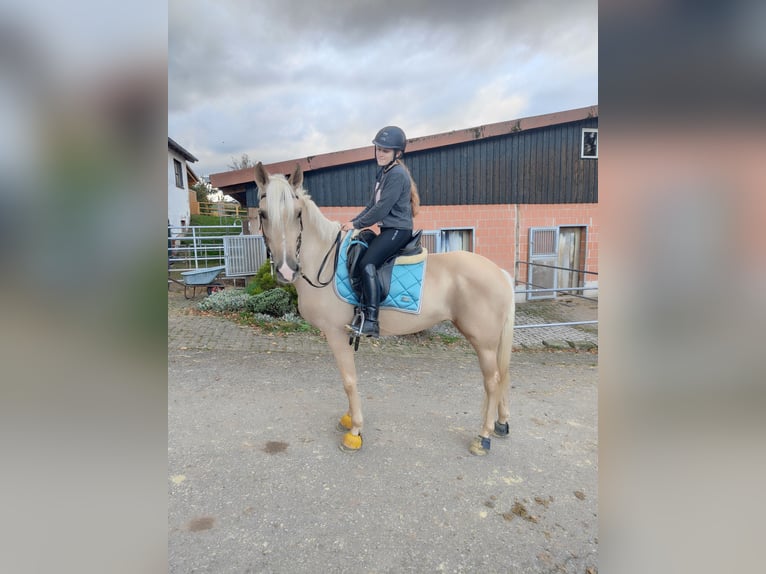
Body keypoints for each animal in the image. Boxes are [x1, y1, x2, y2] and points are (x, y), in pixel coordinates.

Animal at [254, 163, 516, 460]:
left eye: (298, 214)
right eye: (263, 214)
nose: (287, 270)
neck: (324, 260)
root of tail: (500, 273)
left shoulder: (335, 334)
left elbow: (349, 380)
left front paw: (355, 431)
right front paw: (349, 419)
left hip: (483, 342)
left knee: (492, 381)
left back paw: (483, 437)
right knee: (502, 377)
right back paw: (501, 424)